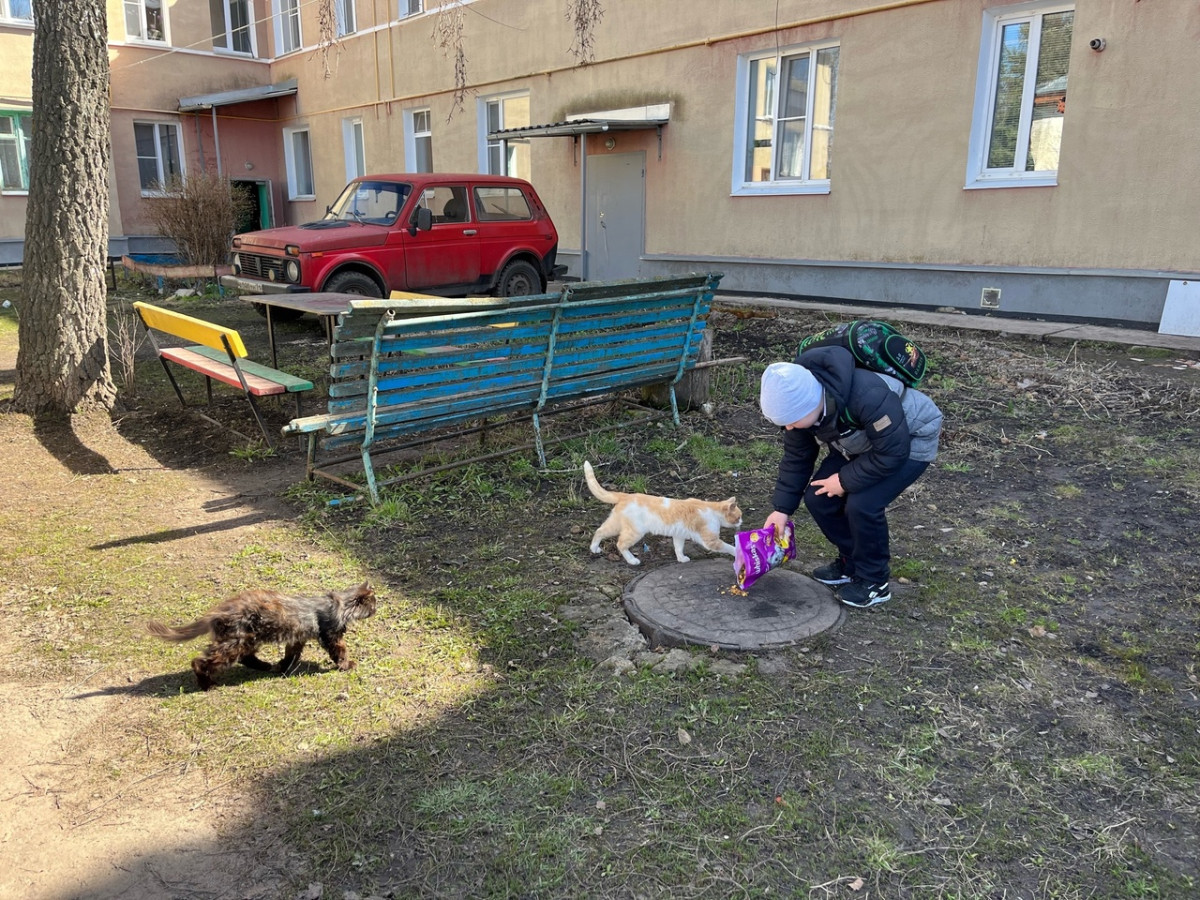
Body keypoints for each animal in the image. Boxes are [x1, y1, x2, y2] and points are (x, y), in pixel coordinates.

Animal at [146, 581, 377, 691]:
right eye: (373, 603)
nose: (377, 607)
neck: (341, 605)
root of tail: (218, 611)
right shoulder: (332, 635)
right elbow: (340, 652)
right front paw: (347, 665)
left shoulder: (296, 638)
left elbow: (291, 655)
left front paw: (283, 667)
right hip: (237, 642)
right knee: (201, 661)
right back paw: (207, 685)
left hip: (246, 641)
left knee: (246, 659)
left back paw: (268, 666)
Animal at [583, 460, 742, 566]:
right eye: (739, 516)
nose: (742, 522)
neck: (713, 510)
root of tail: (627, 495)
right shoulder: (711, 542)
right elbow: (729, 547)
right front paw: (737, 553)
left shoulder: (679, 535)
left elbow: (678, 548)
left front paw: (681, 559)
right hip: (635, 532)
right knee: (620, 544)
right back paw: (632, 560)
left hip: (615, 524)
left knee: (599, 531)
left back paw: (594, 548)